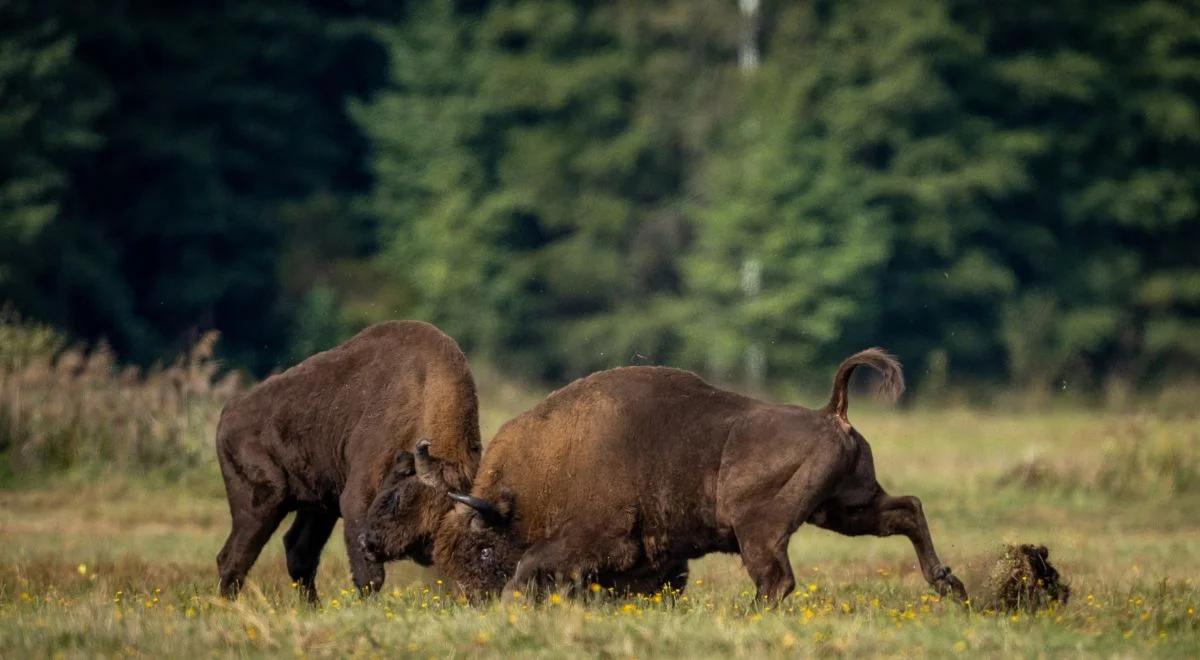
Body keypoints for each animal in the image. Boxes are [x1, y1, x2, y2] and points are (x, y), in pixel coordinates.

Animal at [218, 321, 480, 604]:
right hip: (263, 503)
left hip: (319, 505)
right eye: (397, 498)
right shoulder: (356, 499)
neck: (424, 390)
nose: (368, 543)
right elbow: (370, 578)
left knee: (298, 552)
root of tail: (228, 413)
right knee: (233, 558)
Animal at [362, 352, 964, 604]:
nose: (474, 601)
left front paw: (512, 600)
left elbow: (531, 565)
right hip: (845, 508)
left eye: (482, 546)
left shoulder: (592, 538)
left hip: (763, 529)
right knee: (907, 509)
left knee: (776, 580)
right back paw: (949, 585)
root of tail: (829, 411)